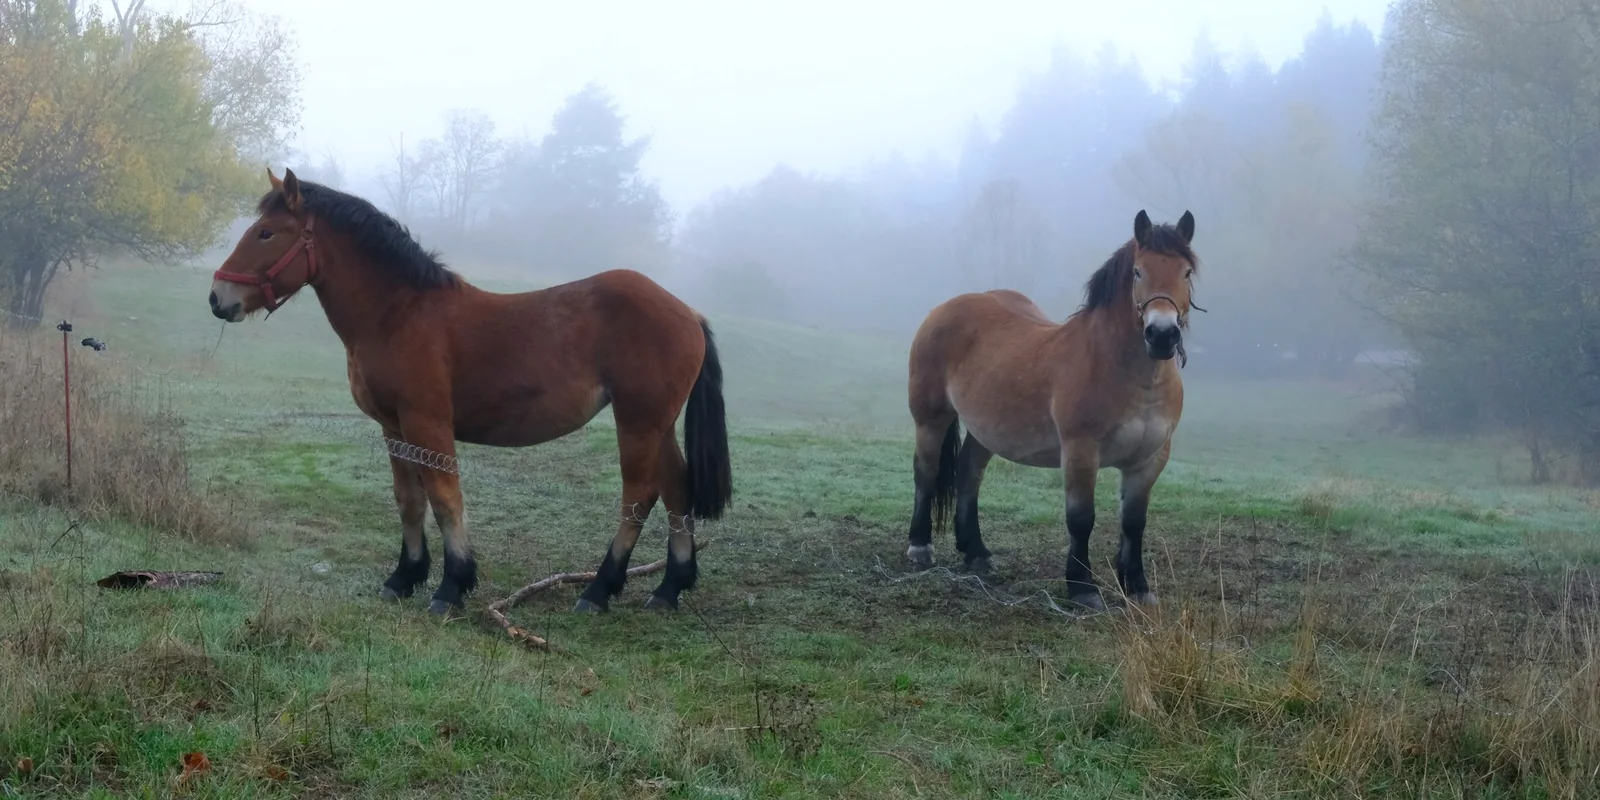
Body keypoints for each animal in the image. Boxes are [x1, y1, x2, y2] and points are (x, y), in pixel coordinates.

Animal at [208, 168, 733, 616]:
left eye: (266, 233)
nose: (217, 298)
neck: (398, 313)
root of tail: (688, 313)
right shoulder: (393, 427)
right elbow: (409, 499)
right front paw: (404, 577)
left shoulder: (428, 423)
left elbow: (445, 499)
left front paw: (451, 585)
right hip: (657, 424)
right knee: (676, 488)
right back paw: (669, 587)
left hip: (638, 422)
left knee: (639, 497)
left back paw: (599, 590)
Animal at [903, 209, 1200, 612]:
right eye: (1139, 271)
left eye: (1186, 272)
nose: (1162, 335)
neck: (1125, 373)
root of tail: (945, 308)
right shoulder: (1080, 452)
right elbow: (1081, 519)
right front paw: (1082, 588)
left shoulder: (1150, 459)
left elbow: (1134, 522)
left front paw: (1138, 587)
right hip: (930, 419)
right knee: (927, 472)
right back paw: (920, 546)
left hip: (986, 430)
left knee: (968, 474)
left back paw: (976, 552)